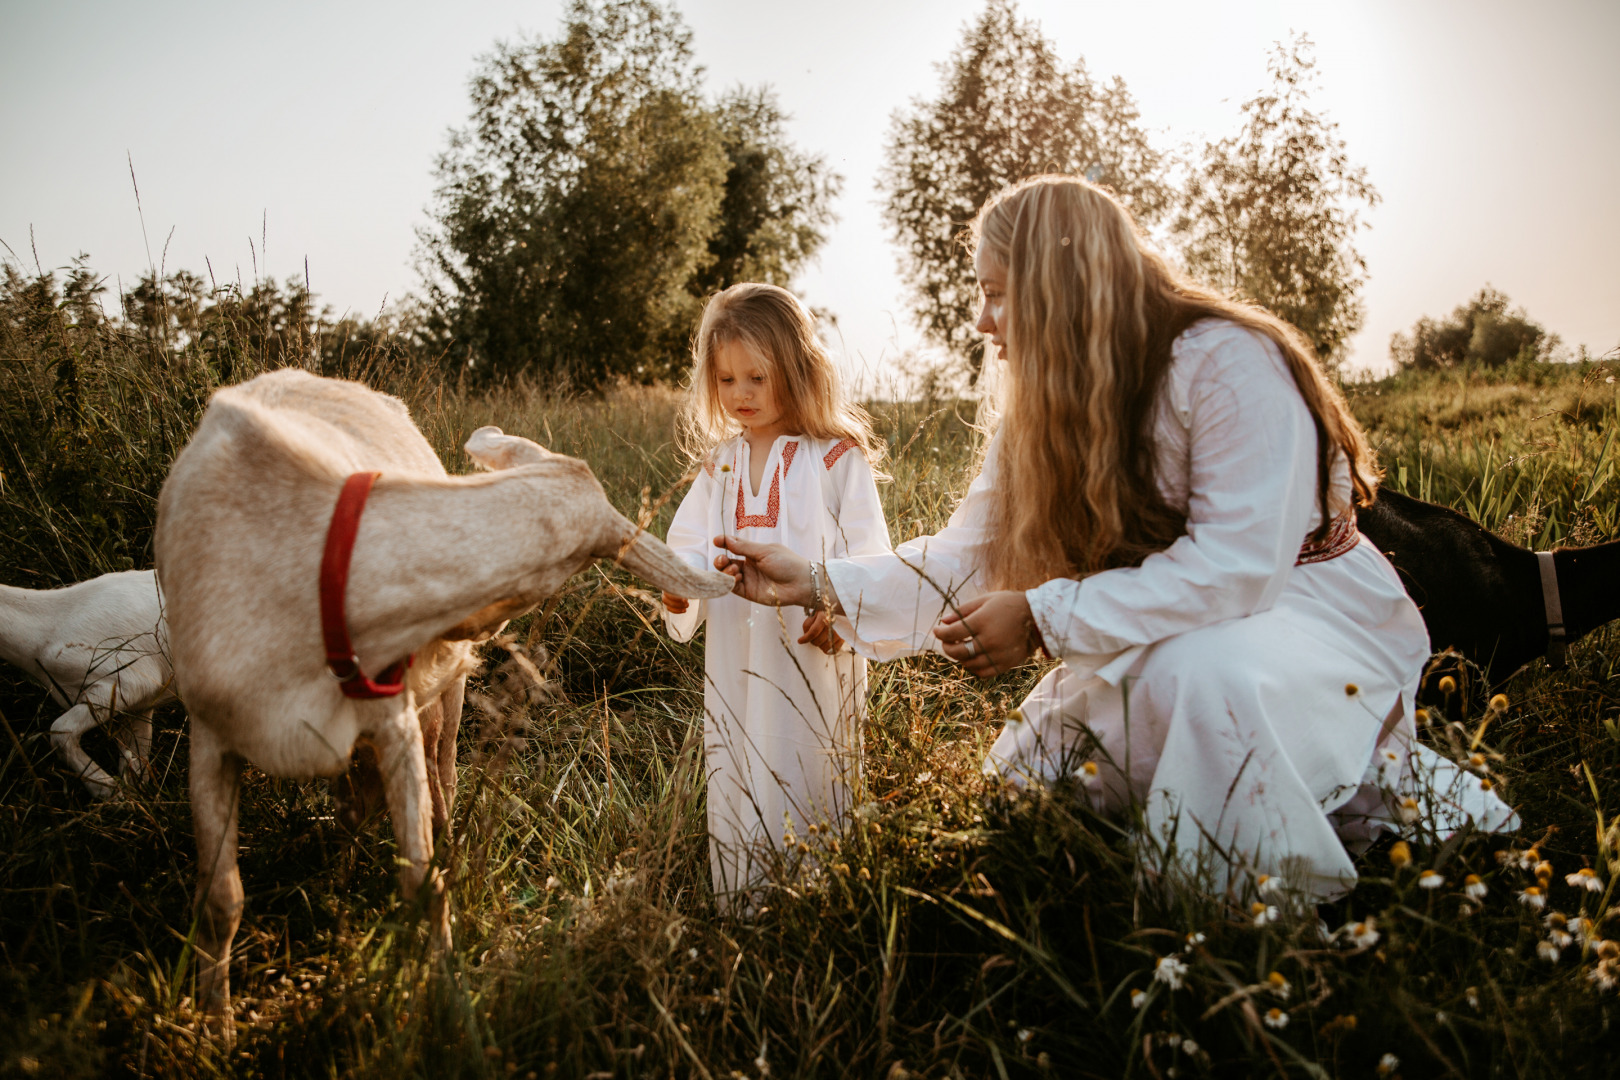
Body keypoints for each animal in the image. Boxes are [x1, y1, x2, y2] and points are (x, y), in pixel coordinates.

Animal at [0, 569, 173, 799]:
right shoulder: (142, 703)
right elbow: (135, 762)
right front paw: (133, 796)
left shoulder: (128, 680)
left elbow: (60, 731)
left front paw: (108, 790)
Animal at [154, 372, 732, 1029]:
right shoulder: (209, 733)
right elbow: (221, 899)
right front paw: (216, 1025)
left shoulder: (395, 719)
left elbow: (423, 879)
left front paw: (443, 995)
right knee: (356, 807)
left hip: (443, 706)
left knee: (444, 779)